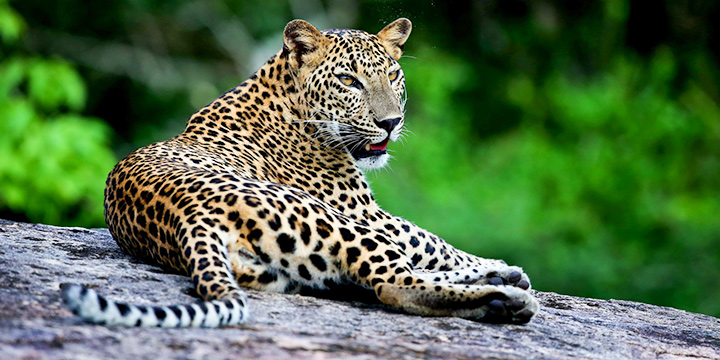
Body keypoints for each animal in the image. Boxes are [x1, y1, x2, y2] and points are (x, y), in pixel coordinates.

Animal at [62, 17, 540, 326]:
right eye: (349, 81)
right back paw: (505, 299)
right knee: (393, 281)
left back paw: (502, 286)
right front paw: (495, 263)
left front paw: (498, 266)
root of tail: (187, 218)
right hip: (334, 222)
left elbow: (427, 242)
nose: (391, 122)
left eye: (393, 74)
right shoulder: (364, 211)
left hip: (290, 269)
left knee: (370, 276)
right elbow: (429, 239)